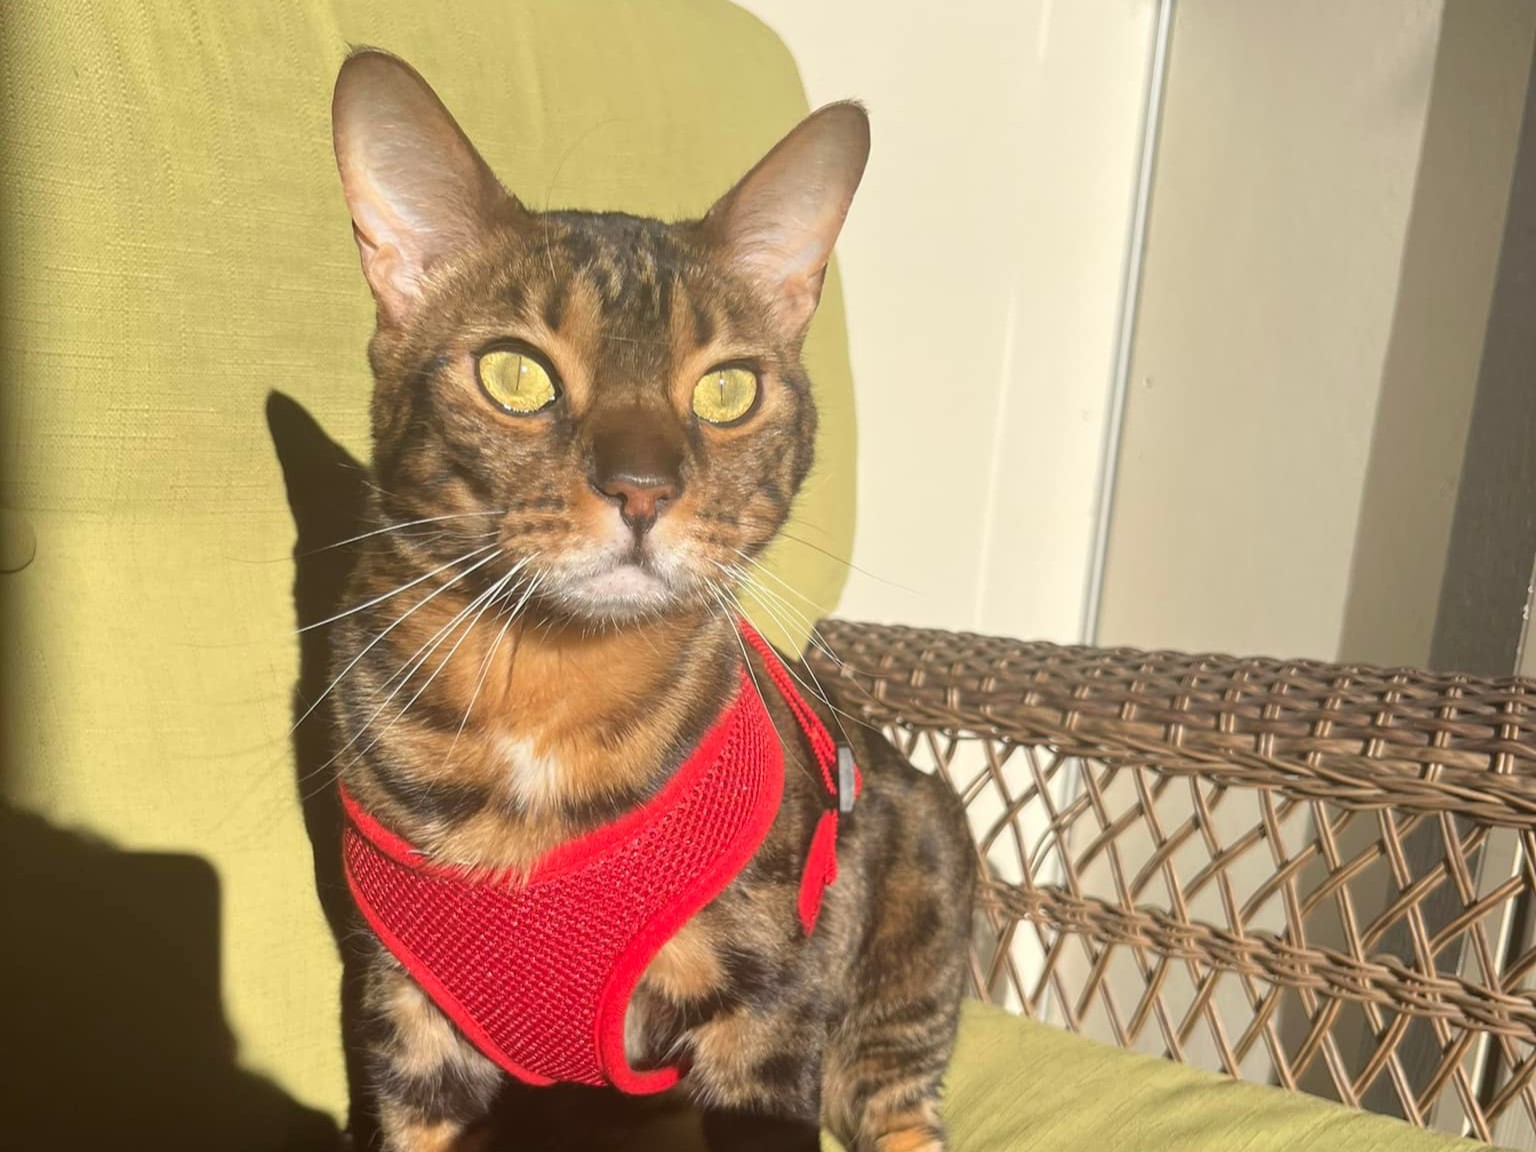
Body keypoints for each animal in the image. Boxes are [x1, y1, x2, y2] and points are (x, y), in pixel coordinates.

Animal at [327, 47, 970, 1152]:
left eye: (728, 390)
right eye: (514, 374)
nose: (642, 489)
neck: (546, 696)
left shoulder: (767, 1023)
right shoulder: (408, 1025)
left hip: (920, 892)